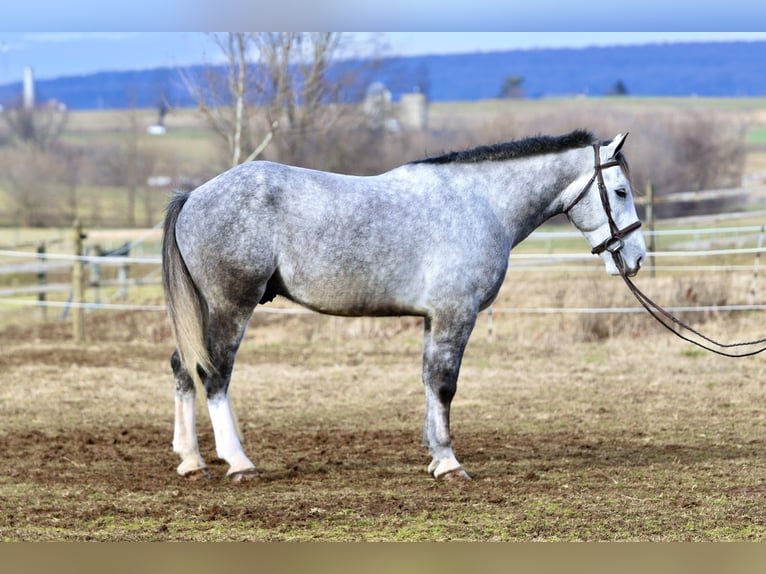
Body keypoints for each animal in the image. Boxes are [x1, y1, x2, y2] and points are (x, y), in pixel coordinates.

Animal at [161, 129, 646, 481]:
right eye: (621, 191)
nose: (637, 257)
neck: (481, 203)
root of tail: (194, 197)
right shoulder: (455, 315)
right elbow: (445, 385)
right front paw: (449, 463)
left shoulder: (435, 319)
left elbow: (429, 382)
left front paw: (435, 455)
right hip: (231, 306)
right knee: (216, 373)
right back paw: (238, 462)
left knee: (183, 368)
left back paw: (192, 461)